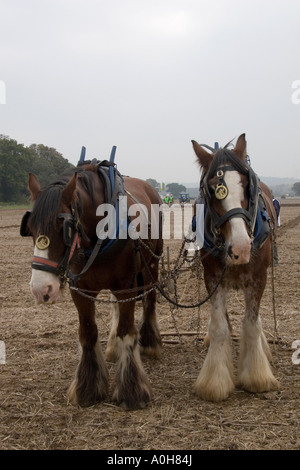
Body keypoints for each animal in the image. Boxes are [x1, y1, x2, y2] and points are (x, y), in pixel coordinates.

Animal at [20, 161, 163, 408]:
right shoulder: (81, 289)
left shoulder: (126, 285)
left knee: (150, 300)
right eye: (30, 228)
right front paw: (87, 388)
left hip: (151, 264)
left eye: (63, 227)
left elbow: (127, 331)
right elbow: (88, 332)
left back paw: (149, 342)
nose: (41, 288)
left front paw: (131, 391)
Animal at [191, 134, 280, 402]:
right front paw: (215, 382)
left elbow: (251, 324)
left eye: (246, 185)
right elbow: (219, 326)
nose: (241, 248)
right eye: (212, 190)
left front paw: (257, 376)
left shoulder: (258, 277)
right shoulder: (212, 278)